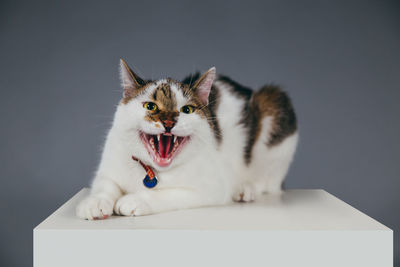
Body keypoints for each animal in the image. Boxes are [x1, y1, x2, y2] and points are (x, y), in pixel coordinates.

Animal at [76, 58, 298, 220]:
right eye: (150, 106)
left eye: (187, 110)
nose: (168, 122)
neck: (150, 171)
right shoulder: (108, 169)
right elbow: (105, 185)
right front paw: (95, 202)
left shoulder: (210, 189)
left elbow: (167, 194)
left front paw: (135, 200)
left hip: (274, 105)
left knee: (268, 184)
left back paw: (244, 189)